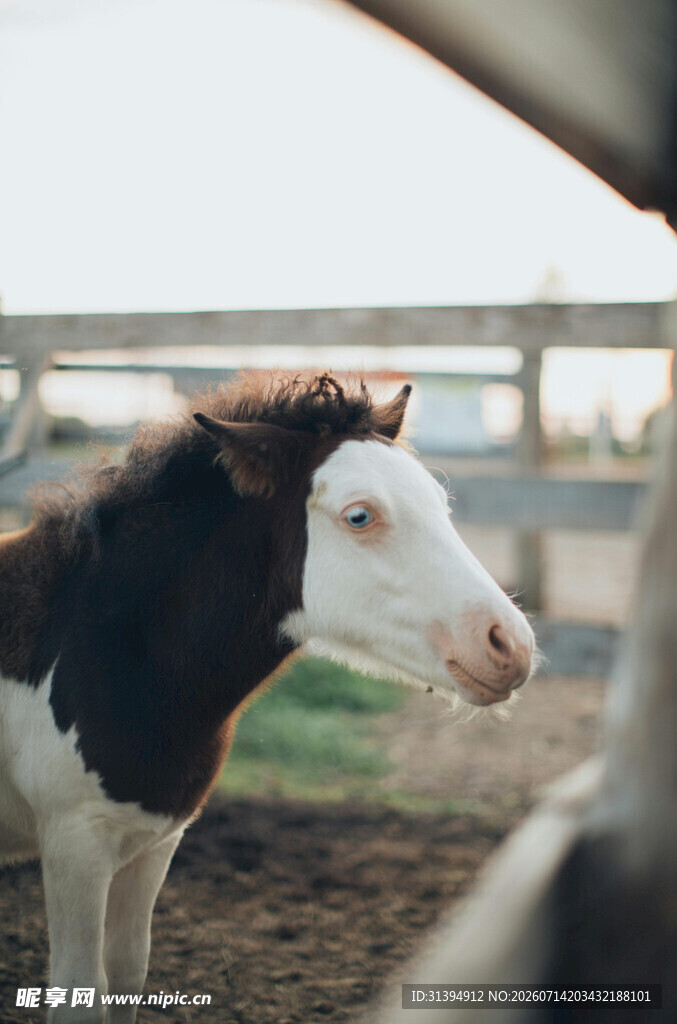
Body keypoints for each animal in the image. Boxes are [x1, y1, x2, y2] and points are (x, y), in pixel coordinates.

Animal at [0, 373, 534, 1022]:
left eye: (440, 503)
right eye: (360, 516)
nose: (511, 645)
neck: (98, 647)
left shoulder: (153, 843)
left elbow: (125, 973)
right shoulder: (74, 845)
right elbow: (80, 990)